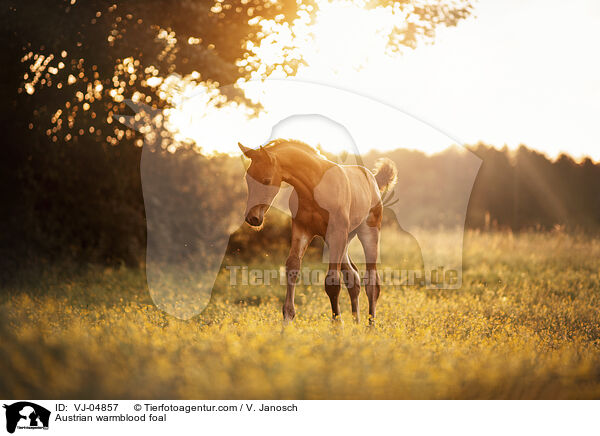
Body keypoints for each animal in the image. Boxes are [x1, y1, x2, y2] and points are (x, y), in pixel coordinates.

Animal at [239, 140, 398, 324]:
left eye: (266, 180)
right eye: (247, 178)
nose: (252, 218)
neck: (314, 187)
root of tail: (372, 179)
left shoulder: (336, 232)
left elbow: (332, 282)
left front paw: (337, 325)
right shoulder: (302, 229)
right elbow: (292, 267)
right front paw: (287, 320)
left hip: (367, 233)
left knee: (372, 282)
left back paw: (370, 326)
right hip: (342, 239)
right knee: (353, 277)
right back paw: (356, 325)